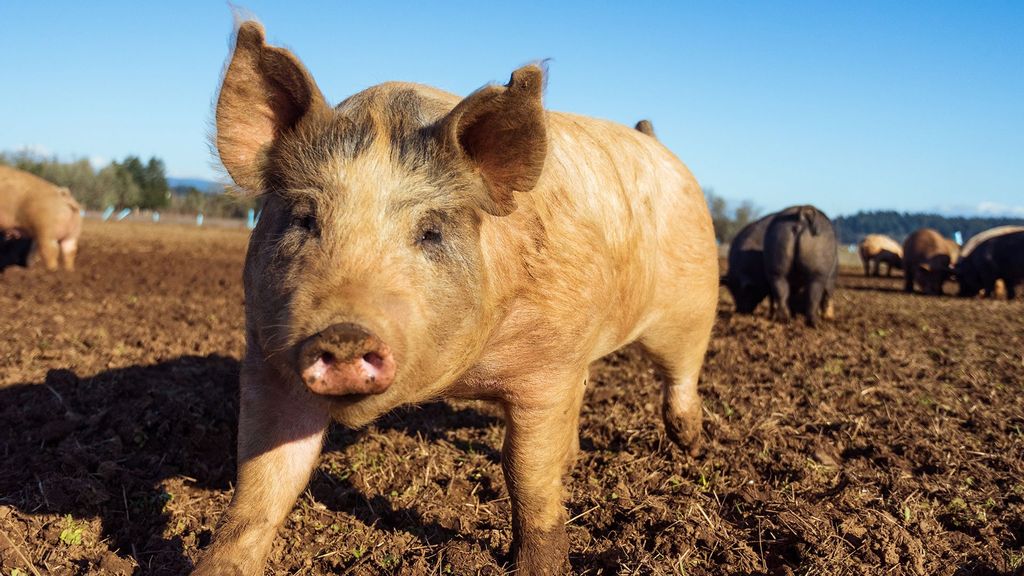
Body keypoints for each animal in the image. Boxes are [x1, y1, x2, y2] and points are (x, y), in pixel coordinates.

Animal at [193, 21, 720, 573]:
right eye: (304, 219)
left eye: (431, 232)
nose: (344, 332)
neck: (454, 381)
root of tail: (655, 141)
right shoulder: (266, 357)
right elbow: (263, 483)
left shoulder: (547, 366)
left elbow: (525, 473)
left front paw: (536, 565)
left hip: (693, 301)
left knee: (681, 373)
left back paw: (691, 446)